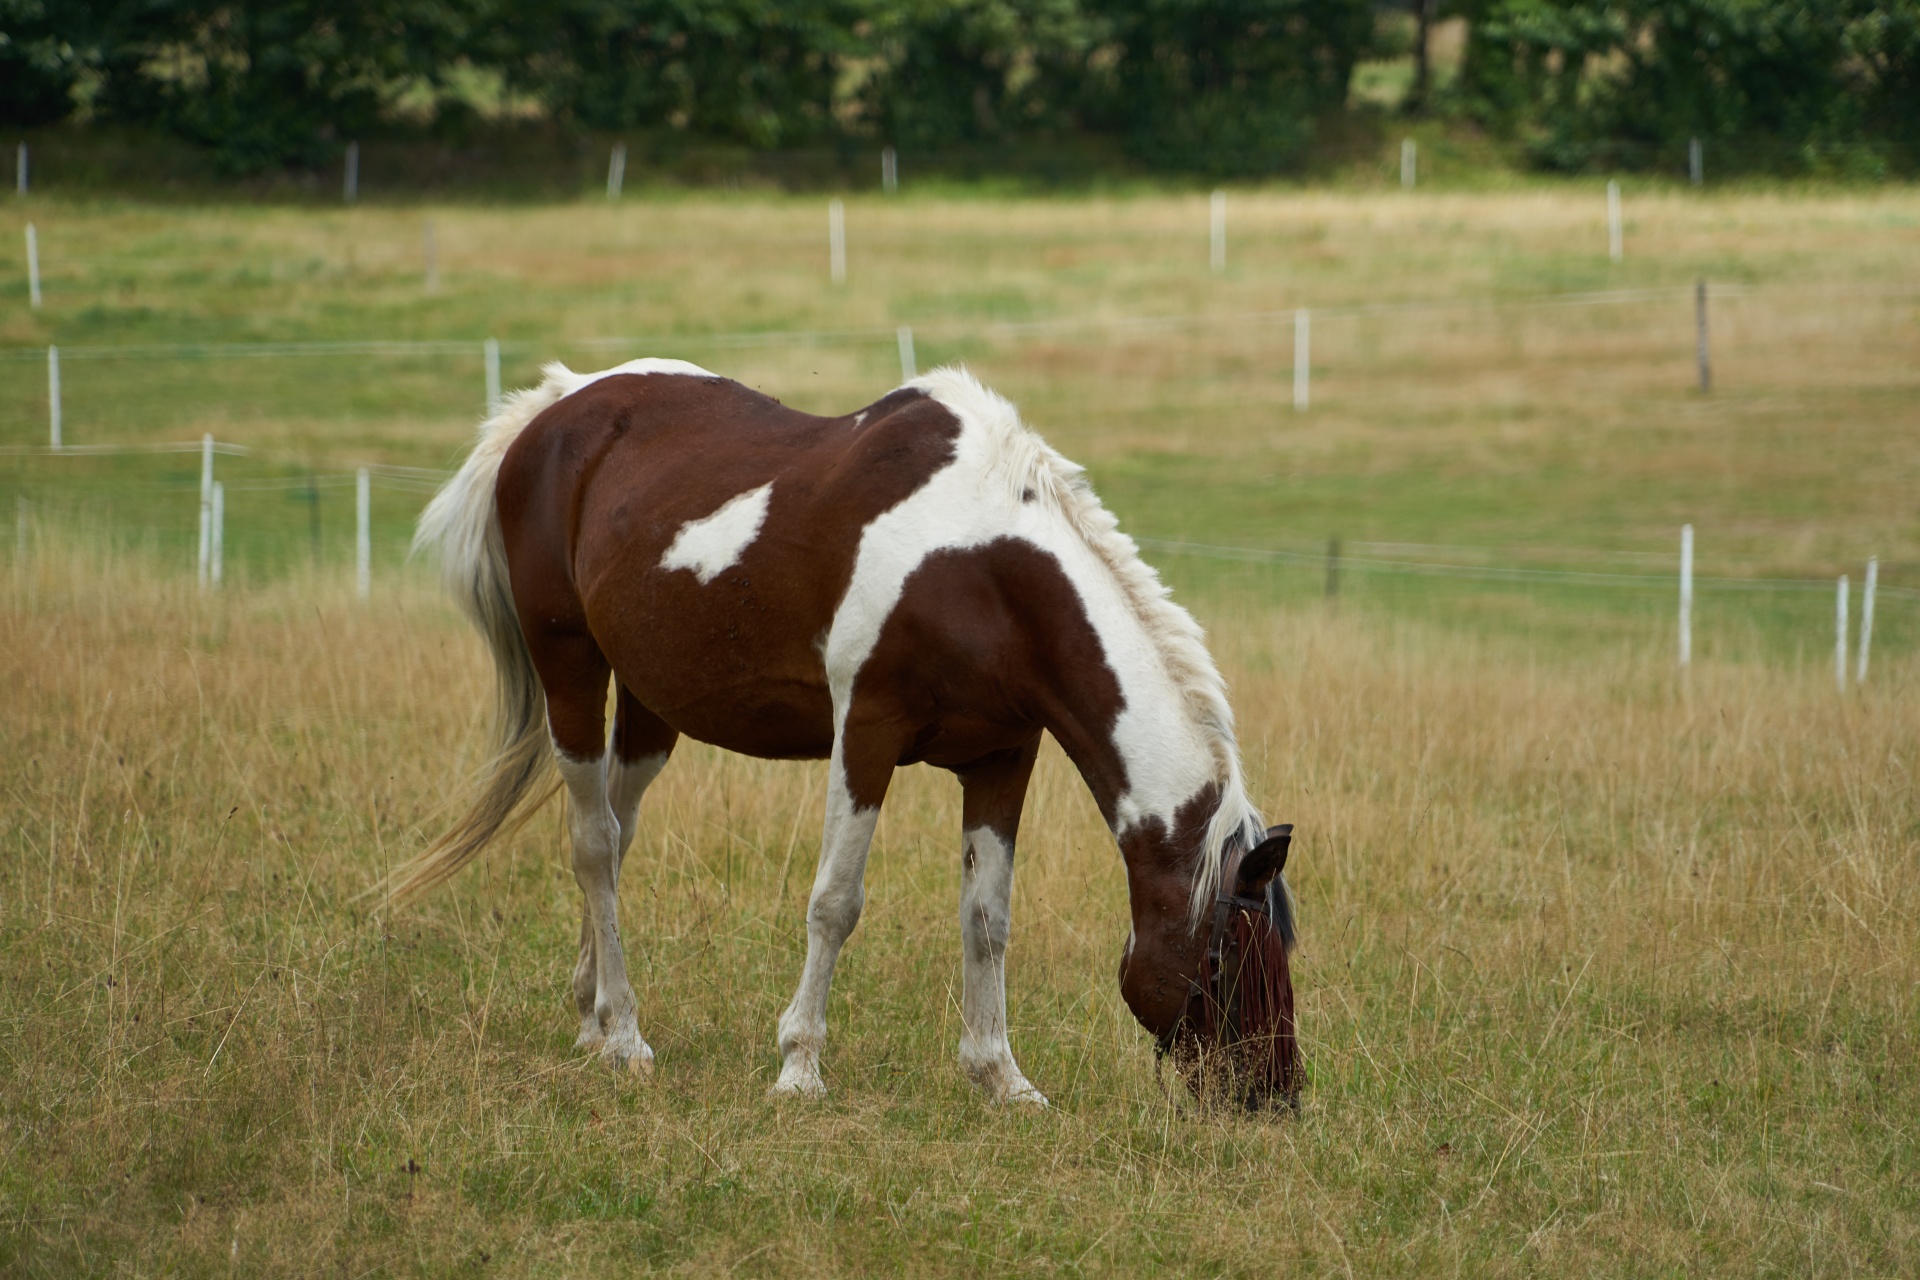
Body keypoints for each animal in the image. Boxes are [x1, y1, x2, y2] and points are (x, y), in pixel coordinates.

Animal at [393, 360, 1305, 1113]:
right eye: (1223, 963)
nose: (1276, 1096)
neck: (985, 570)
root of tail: (556, 406)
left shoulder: (1002, 757)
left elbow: (987, 917)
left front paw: (1001, 1077)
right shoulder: (864, 731)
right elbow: (835, 902)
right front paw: (799, 1067)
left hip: (651, 707)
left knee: (616, 841)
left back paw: (591, 1019)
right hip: (570, 668)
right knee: (591, 843)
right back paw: (625, 1035)